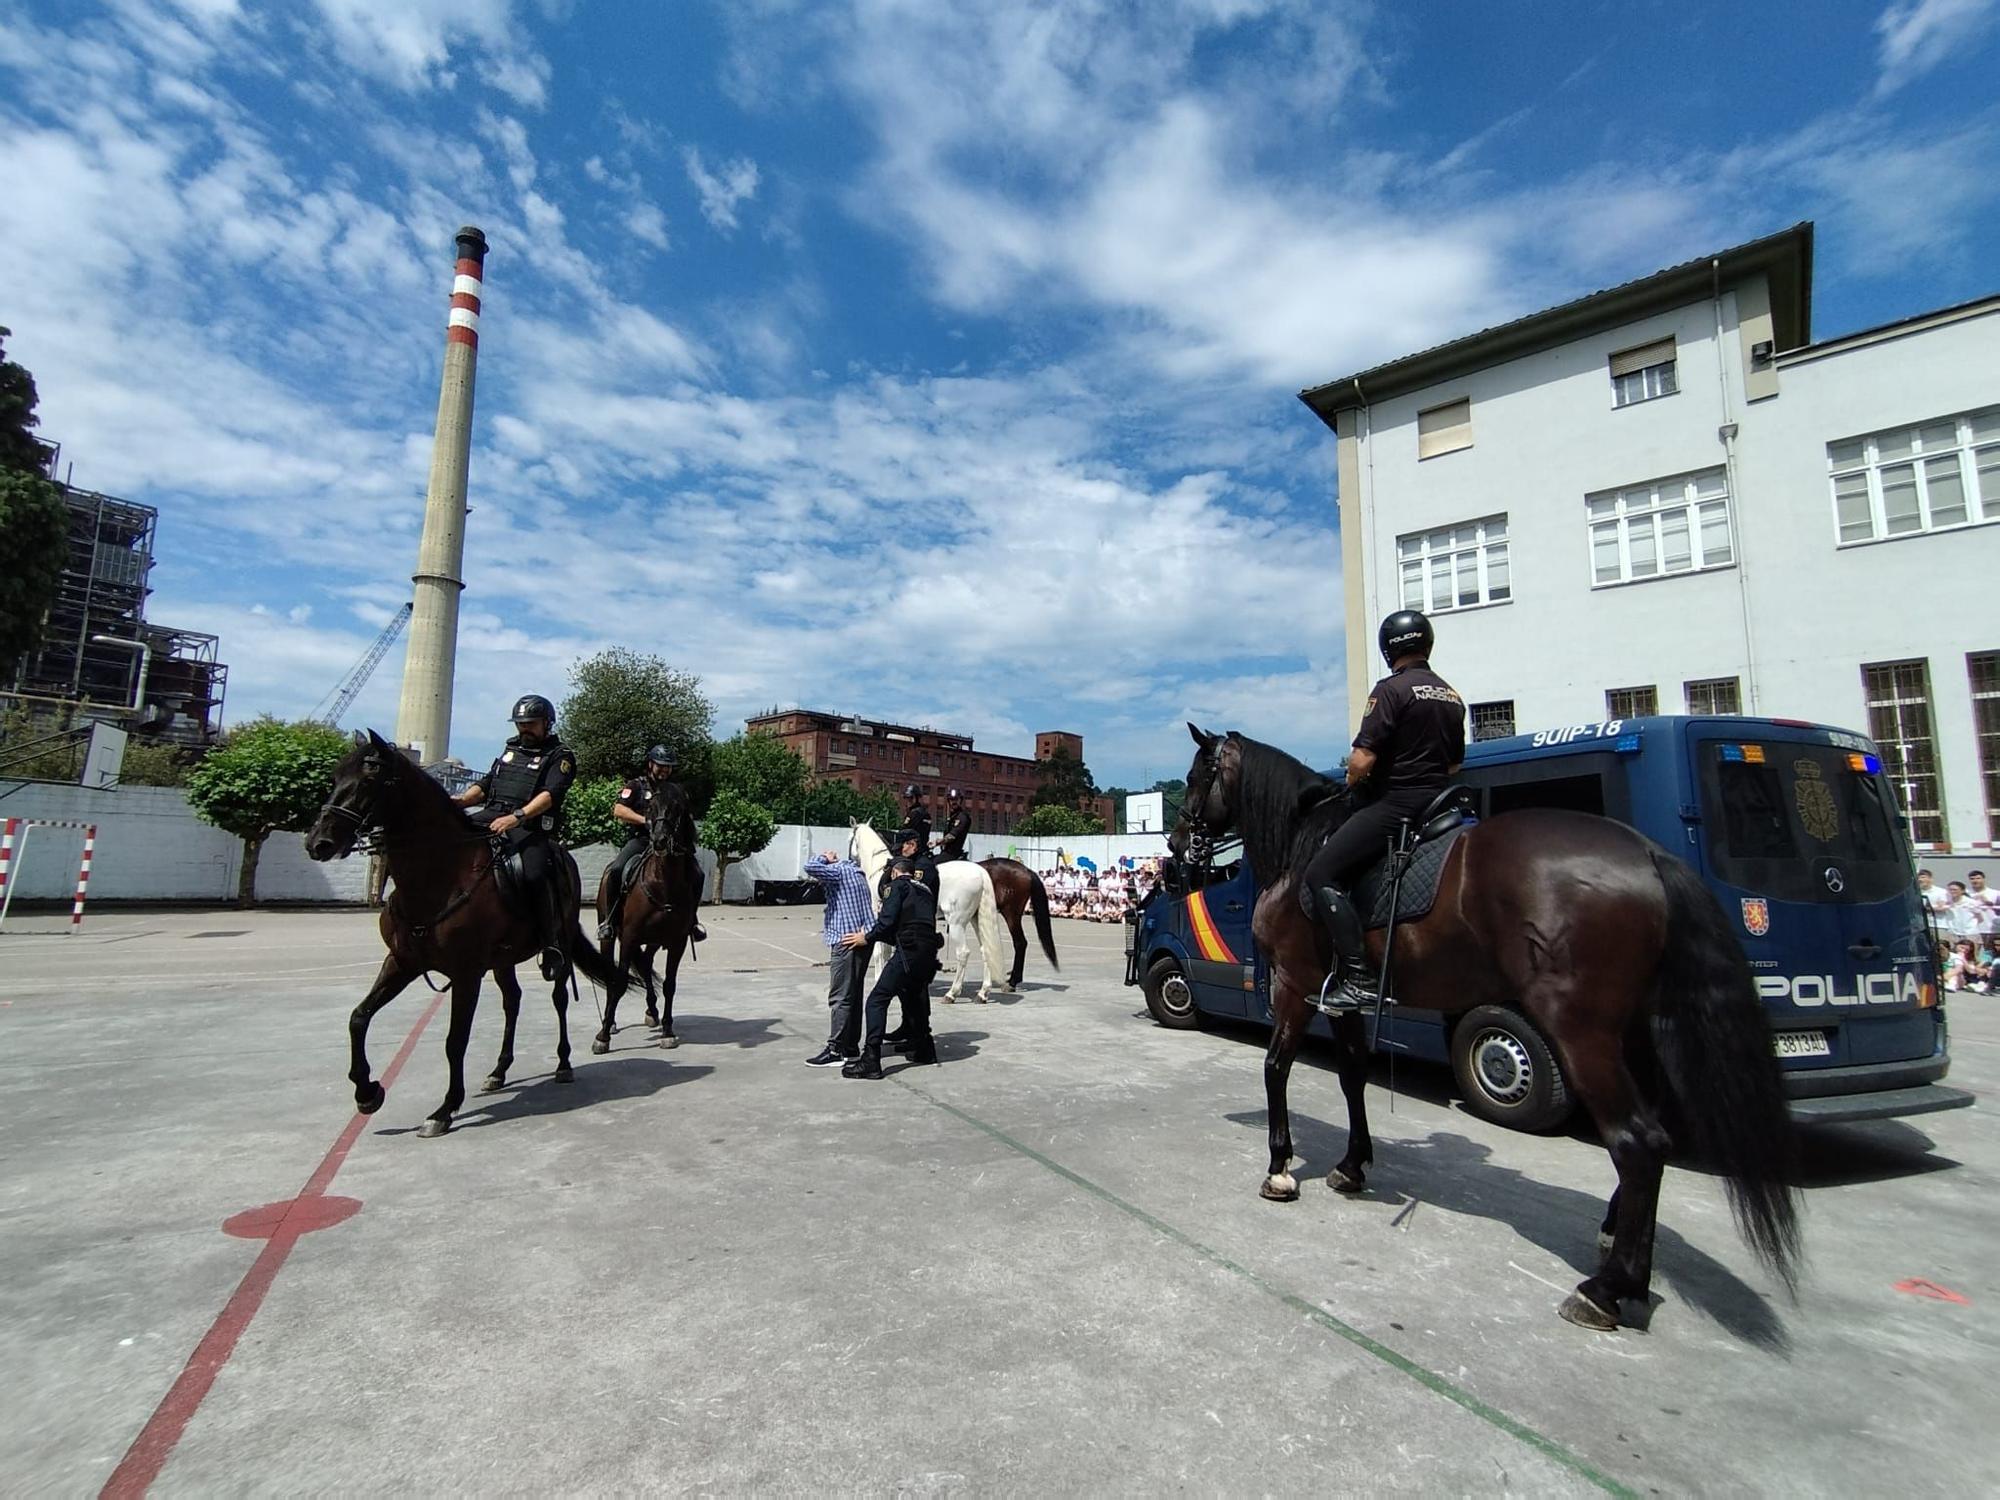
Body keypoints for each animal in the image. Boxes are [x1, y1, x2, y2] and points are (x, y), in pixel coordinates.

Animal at [302, 732, 616, 1136]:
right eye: (336, 776)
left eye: (369, 779)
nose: (318, 842)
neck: (441, 876)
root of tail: (562, 856)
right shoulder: (400, 962)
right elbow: (358, 1018)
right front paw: (367, 1091)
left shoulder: (466, 974)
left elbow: (455, 1040)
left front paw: (444, 1109)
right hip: (503, 959)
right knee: (512, 1000)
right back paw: (499, 1070)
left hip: (556, 946)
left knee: (559, 998)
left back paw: (563, 1064)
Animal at [592, 788, 704, 1056]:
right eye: (650, 808)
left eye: (678, 809)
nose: (660, 840)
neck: (664, 884)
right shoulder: (630, 938)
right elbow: (619, 982)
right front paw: (602, 1036)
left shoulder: (677, 942)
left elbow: (669, 984)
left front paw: (668, 1032)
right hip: (612, 935)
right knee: (616, 971)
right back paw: (611, 1023)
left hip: (653, 941)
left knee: (645, 965)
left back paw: (652, 1011)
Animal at [848, 816, 1008, 1004]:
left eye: (849, 839)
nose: (849, 860)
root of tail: (981, 872)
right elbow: (886, 952)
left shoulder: (878, 916)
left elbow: (879, 952)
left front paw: (879, 979)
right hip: (976, 920)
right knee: (986, 951)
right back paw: (983, 993)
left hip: (957, 923)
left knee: (963, 953)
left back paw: (952, 993)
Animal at [1168, 724, 1808, 1328]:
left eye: (1196, 776)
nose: (1175, 852)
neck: (1303, 845)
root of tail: (1649, 854)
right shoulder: (1344, 995)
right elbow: (1352, 1077)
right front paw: (1352, 1166)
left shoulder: (1295, 984)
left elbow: (1276, 1067)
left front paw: (1280, 1168)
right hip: (1632, 1032)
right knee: (1653, 1134)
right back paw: (1615, 1241)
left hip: (1579, 1029)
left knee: (1636, 1139)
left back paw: (1606, 1290)